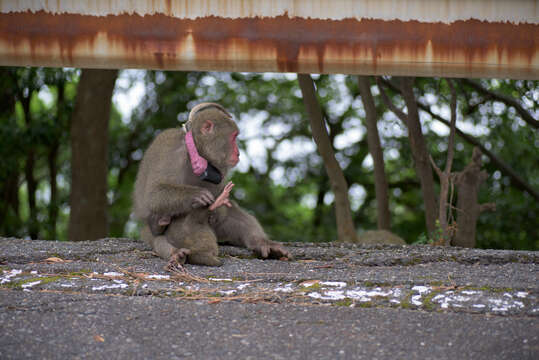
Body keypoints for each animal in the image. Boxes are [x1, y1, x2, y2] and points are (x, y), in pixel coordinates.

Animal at [132, 102, 292, 266]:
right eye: (233, 137)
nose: (238, 153)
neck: (195, 150)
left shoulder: (218, 170)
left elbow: (224, 207)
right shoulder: (170, 150)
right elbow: (154, 195)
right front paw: (197, 195)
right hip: (150, 234)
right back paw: (185, 251)